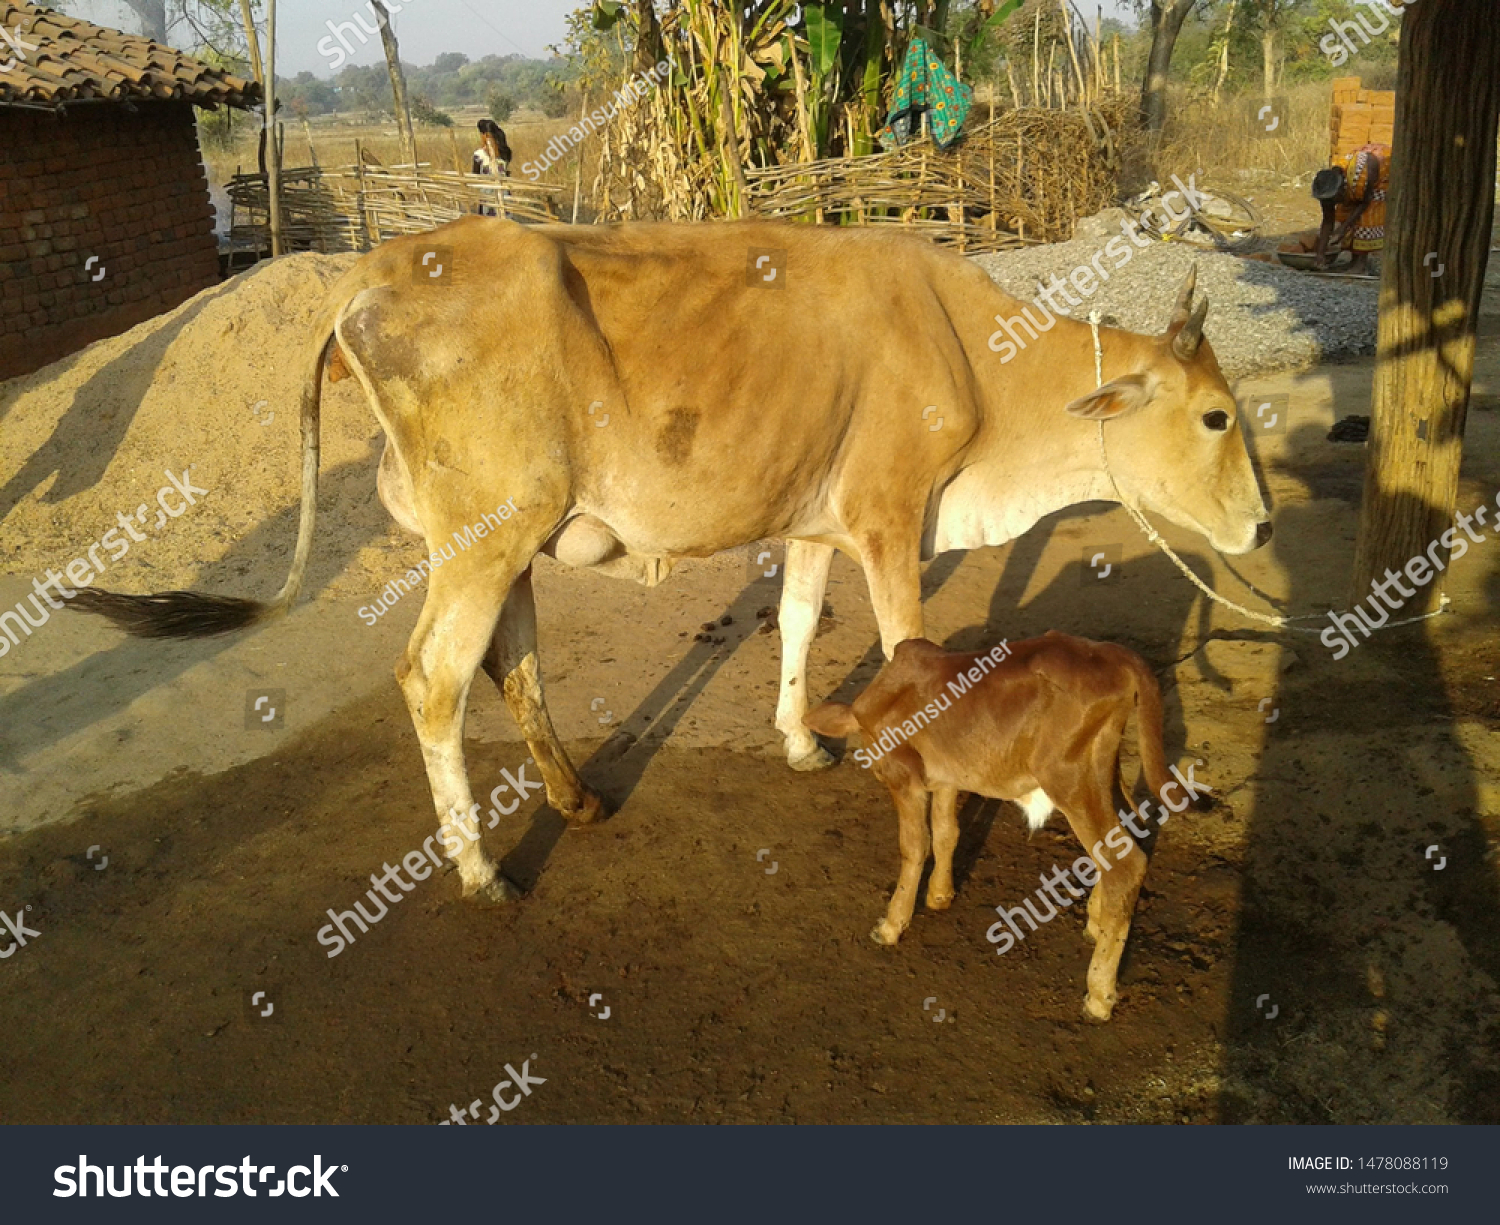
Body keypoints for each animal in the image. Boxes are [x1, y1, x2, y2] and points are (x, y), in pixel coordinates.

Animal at [67, 214, 1266, 905]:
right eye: (1215, 417)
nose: (1259, 528)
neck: (973, 351)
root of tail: (371, 272)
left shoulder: (814, 520)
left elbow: (797, 621)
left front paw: (800, 741)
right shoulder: (889, 519)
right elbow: (911, 659)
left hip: (510, 543)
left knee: (512, 665)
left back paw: (578, 800)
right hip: (484, 534)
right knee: (434, 680)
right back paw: (480, 871)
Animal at [810, 629, 1194, 1025]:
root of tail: (1114, 654)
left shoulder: (903, 776)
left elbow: (915, 846)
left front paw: (891, 925)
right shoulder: (948, 774)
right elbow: (947, 833)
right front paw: (939, 896)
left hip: (1069, 778)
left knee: (1125, 864)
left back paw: (1099, 993)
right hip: (1102, 772)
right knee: (1120, 844)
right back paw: (1095, 923)